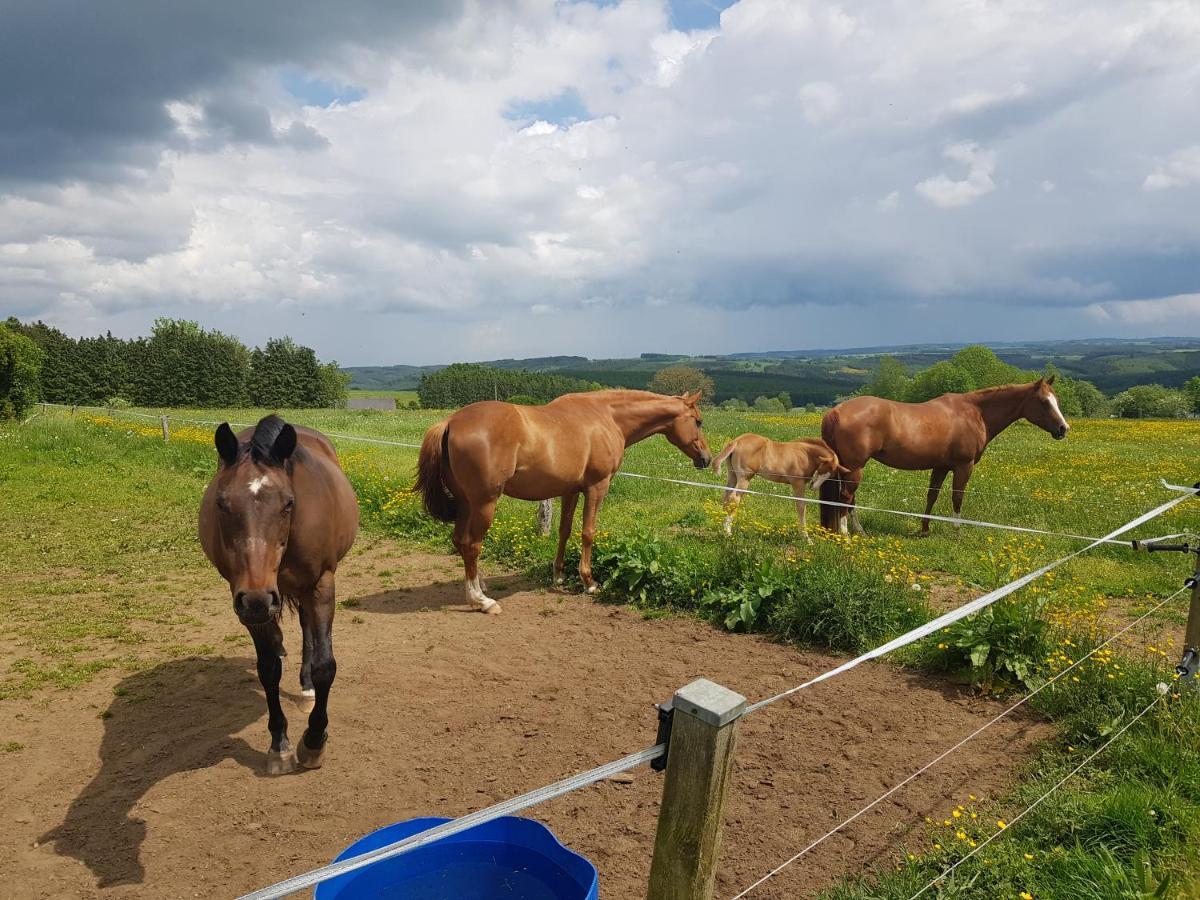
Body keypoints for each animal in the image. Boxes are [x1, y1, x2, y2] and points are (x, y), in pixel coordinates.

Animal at [195, 415, 355, 777]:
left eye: (288, 503)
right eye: (221, 503)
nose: (257, 600)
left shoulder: (321, 585)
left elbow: (325, 665)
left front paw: (313, 742)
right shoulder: (246, 598)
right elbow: (268, 669)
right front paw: (279, 746)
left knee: (308, 629)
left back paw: (307, 686)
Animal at [417, 388, 705, 614]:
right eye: (699, 422)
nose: (706, 458)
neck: (606, 417)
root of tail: (450, 422)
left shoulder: (570, 490)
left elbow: (564, 530)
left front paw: (559, 575)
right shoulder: (597, 487)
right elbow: (588, 532)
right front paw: (589, 581)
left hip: (466, 503)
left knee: (459, 541)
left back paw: (480, 586)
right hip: (483, 503)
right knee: (472, 545)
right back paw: (482, 601)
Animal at [710, 434, 844, 540]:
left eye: (831, 475)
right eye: (823, 468)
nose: (814, 487)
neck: (805, 454)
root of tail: (736, 441)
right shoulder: (798, 484)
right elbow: (801, 507)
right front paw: (806, 538)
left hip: (732, 474)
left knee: (726, 496)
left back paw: (722, 524)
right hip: (744, 478)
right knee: (734, 498)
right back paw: (727, 531)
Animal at [820, 379, 1075, 535]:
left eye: (1057, 400)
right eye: (1044, 402)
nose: (1063, 428)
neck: (975, 413)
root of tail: (836, 411)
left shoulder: (941, 466)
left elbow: (932, 495)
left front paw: (925, 528)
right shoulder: (964, 466)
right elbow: (957, 497)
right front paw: (956, 530)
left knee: (849, 499)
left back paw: (859, 531)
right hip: (855, 467)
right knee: (846, 497)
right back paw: (846, 533)